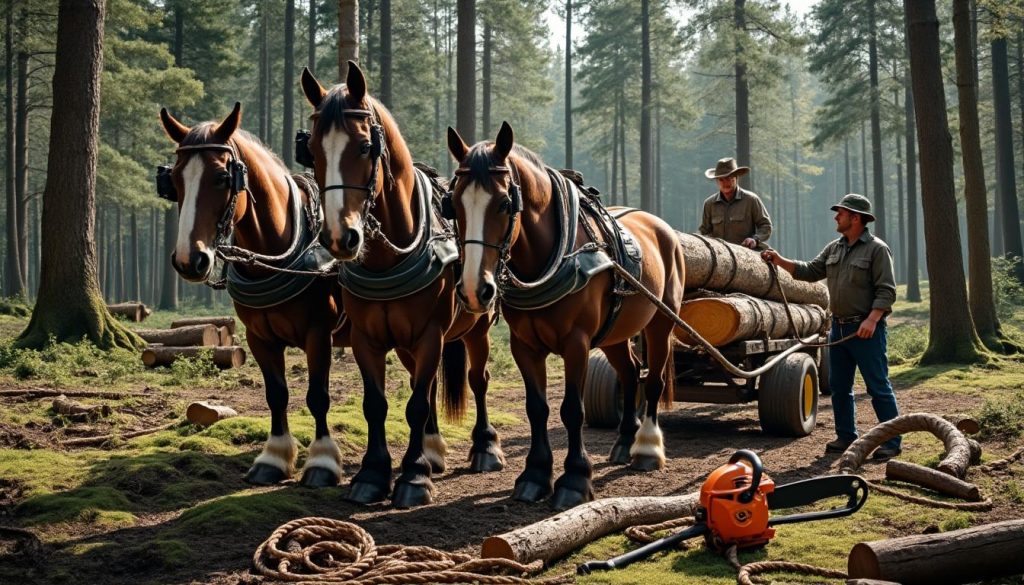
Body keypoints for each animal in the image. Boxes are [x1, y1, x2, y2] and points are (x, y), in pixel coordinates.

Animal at [299, 62, 502, 508]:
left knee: (477, 380)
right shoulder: (366, 338)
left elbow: (416, 405)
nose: (340, 238)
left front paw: (413, 477)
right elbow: (377, 404)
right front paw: (374, 474)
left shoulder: (430, 335)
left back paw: (484, 447)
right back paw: (433, 450)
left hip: (477, 326)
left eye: (364, 148)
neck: (386, 261)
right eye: (314, 152)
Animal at [445, 122, 687, 509]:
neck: (551, 259)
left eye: (504, 203)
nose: (473, 289)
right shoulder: (524, 346)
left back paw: (647, 447)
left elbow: (573, 409)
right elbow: (537, 408)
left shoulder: (577, 343)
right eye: (452, 204)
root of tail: (661, 226)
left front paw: (574, 479)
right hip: (617, 332)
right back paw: (624, 441)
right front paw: (534, 476)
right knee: (630, 371)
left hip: (661, 322)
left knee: (653, 380)